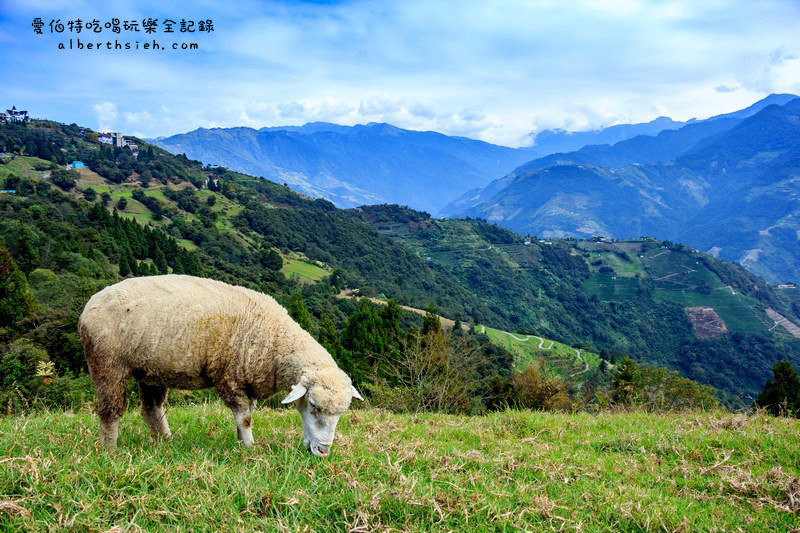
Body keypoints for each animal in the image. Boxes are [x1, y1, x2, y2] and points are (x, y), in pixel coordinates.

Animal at [79, 274, 362, 454]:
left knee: (151, 410)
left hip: (151, 370)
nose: (323, 451)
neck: (275, 339)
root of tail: (90, 304)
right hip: (108, 363)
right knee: (109, 411)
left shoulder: (248, 383)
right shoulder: (231, 379)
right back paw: (110, 450)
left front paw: (239, 443)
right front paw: (249, 449)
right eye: (312, 405)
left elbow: (245, 416)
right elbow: (245, 418)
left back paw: (166, 442)